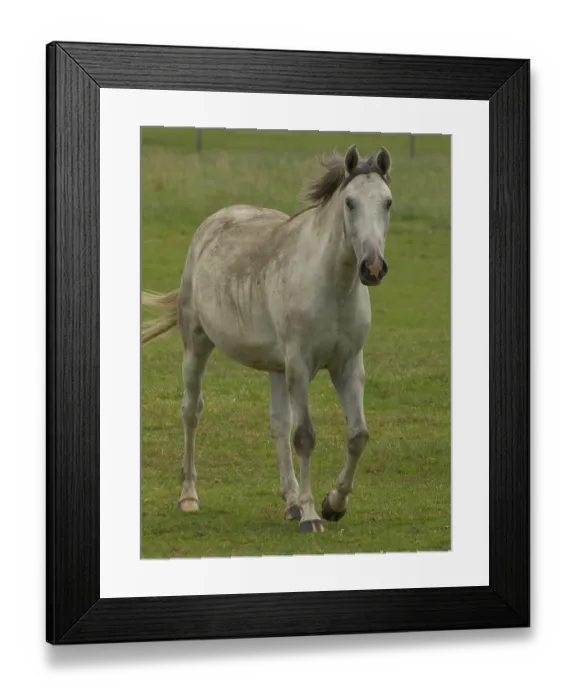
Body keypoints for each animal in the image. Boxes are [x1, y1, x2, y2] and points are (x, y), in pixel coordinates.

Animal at [141, 144, 393, 533]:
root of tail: (214, 222)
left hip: (277, 368)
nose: (373, 267)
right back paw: (189, 496)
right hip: (197, 345)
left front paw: (333, 504)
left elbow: (357, 436)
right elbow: (305, 437)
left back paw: (290, 502)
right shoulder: (300, 366)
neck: (332, 287)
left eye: (388, 202)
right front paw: (312, 516)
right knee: (191, 412)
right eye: (350, 203)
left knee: (278, 423)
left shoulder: (348, 366)